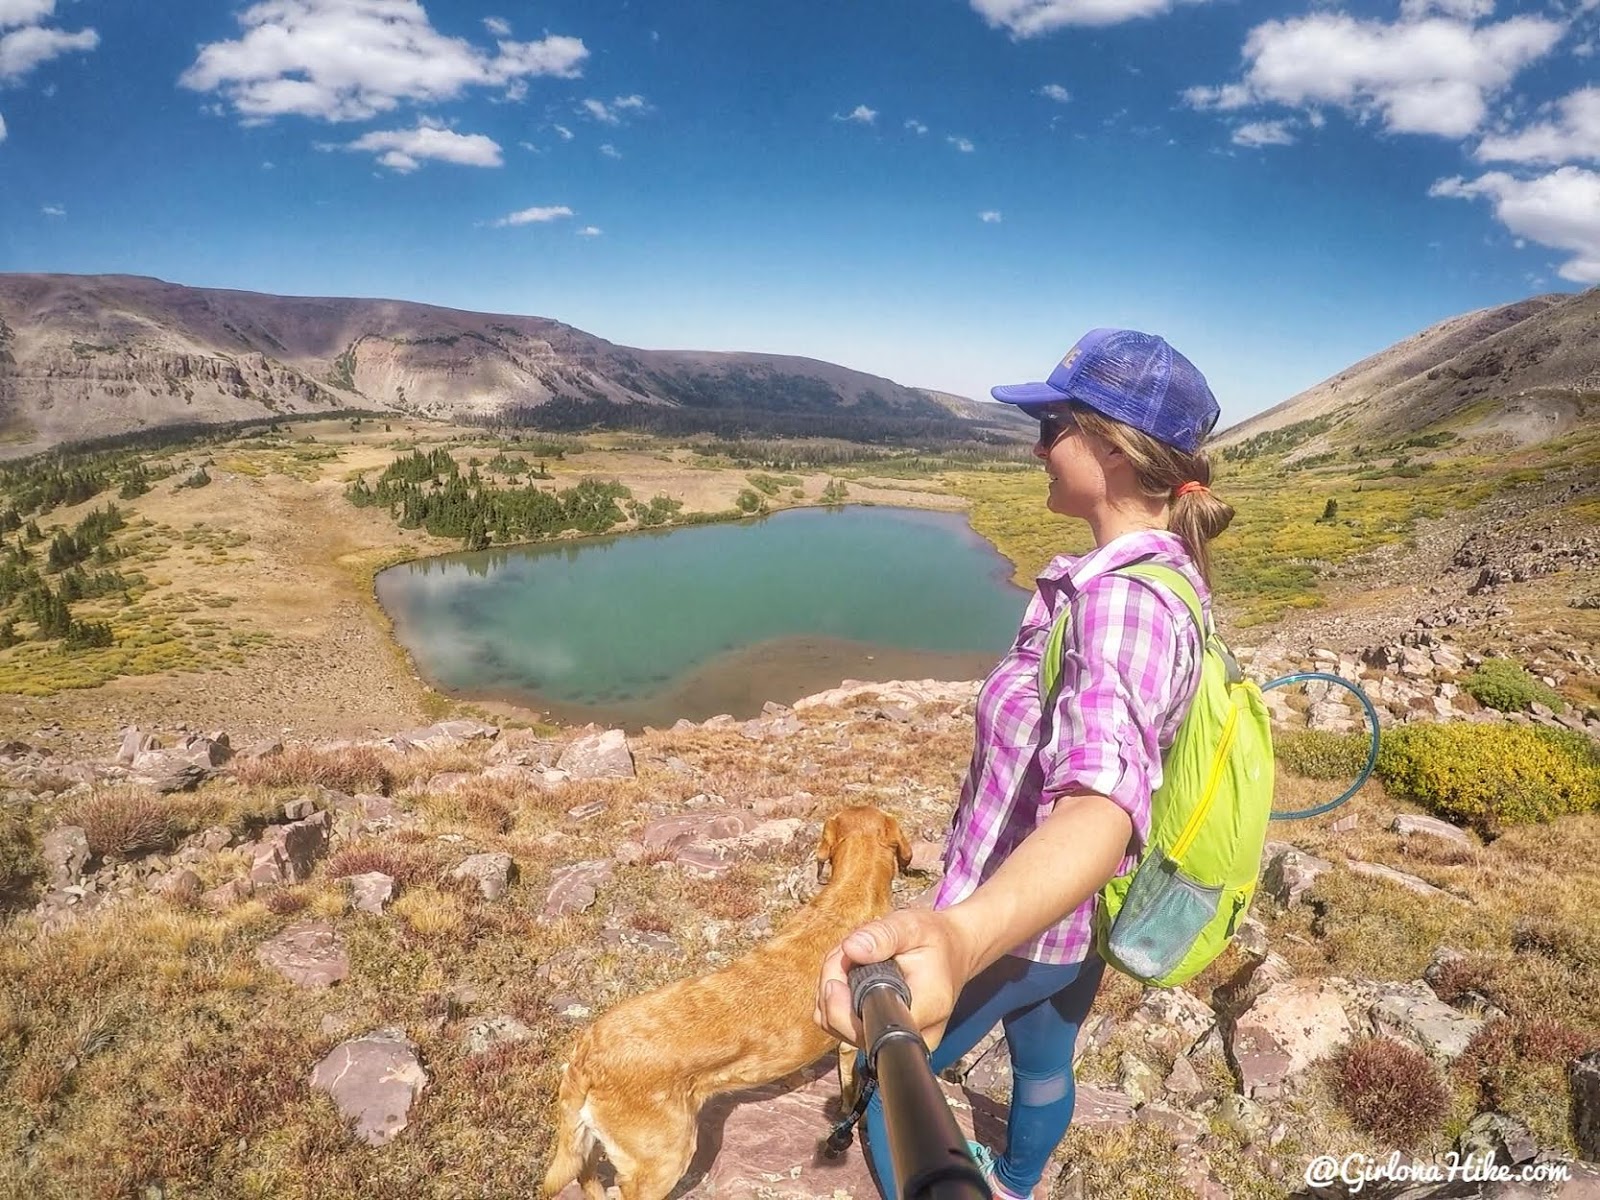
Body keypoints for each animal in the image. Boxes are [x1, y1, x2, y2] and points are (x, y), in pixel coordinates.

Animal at [540, 809, 908, 1200]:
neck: (851, 889)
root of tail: (588, 1055)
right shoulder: (852, 1045)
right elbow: (851, 1095)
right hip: (664, 1160)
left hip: (590, 1142)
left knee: (586, 1174)